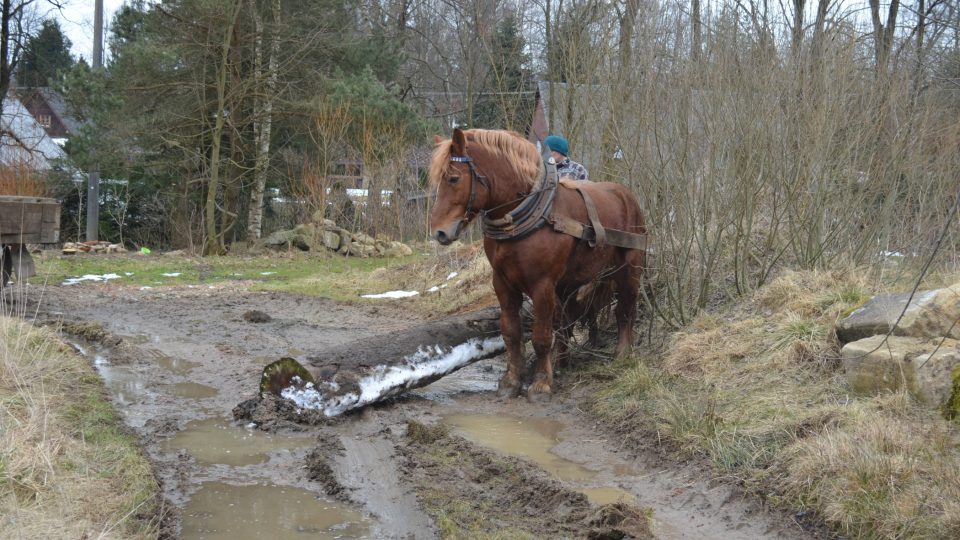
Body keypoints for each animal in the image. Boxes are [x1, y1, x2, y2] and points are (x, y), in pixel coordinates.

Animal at [434, 129, 644, 400]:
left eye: (453, 178)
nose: (439, 232)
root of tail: (626, 195)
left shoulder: (542, 284)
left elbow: (541, 335)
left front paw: (541, 383)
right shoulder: (502, 283)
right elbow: (511, 333)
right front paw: (512, 381)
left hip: (629, 270)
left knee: (625, 310)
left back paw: (622, 353)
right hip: (569, 284)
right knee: (566, 322)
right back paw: (563, 362)